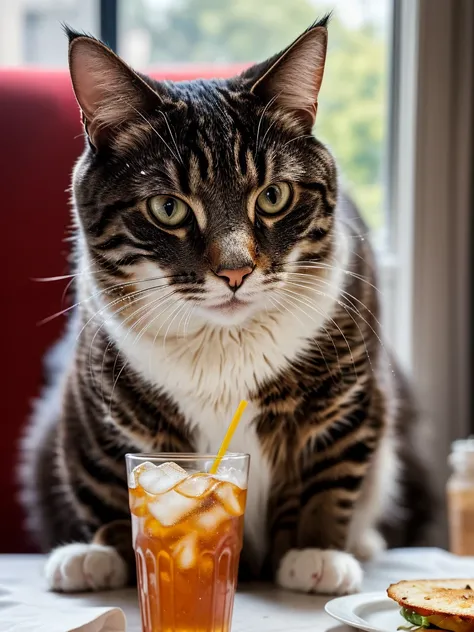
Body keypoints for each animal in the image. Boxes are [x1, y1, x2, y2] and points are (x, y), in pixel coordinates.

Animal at [19, 17, 434, 596]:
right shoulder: (98, 389)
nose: (235, 272)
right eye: (167, 207)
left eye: (274, 197)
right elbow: (105, 475)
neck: (222, 346)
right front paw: (106, 553)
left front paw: (315, 552)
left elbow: (328, 475)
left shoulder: (347, 385)